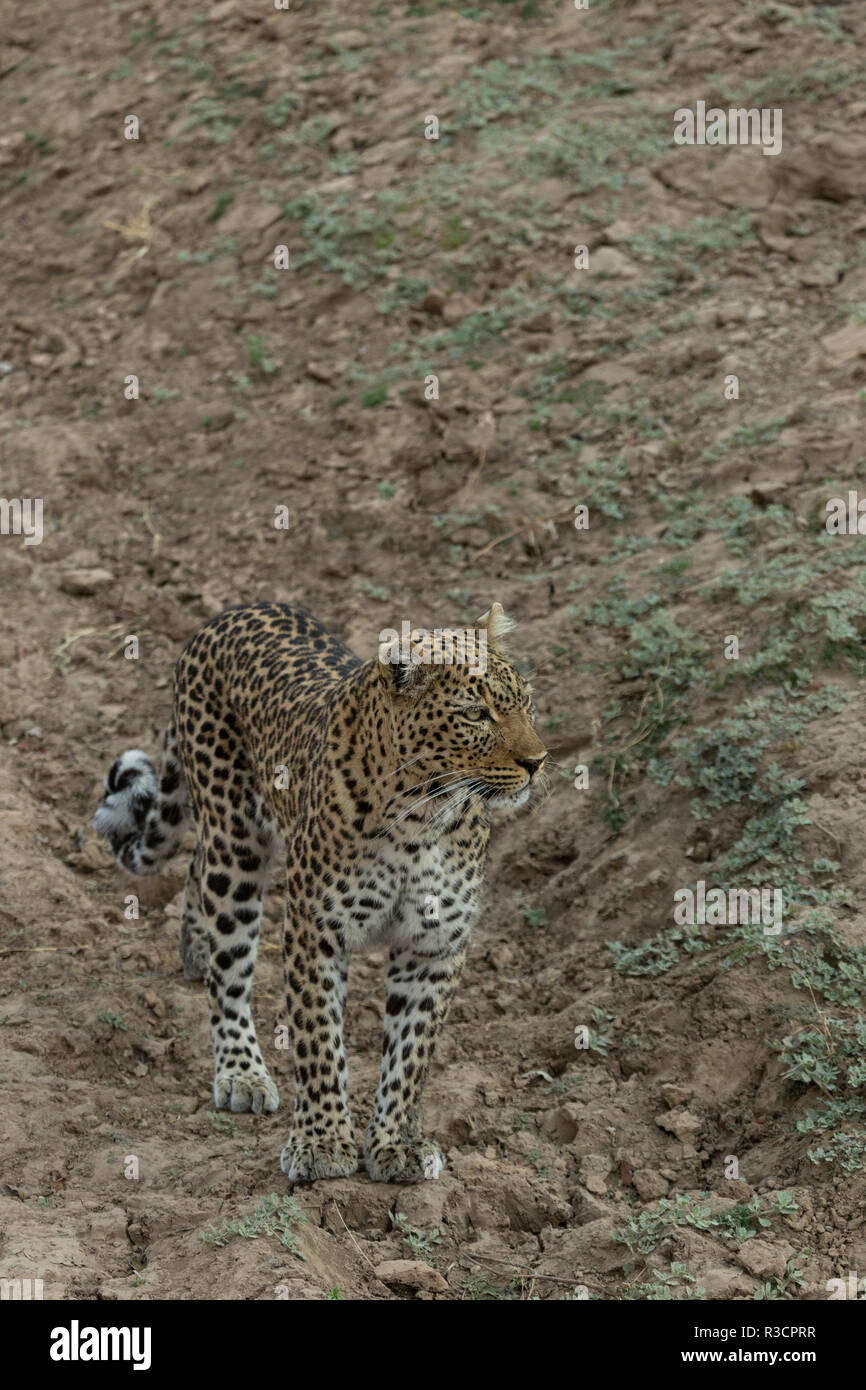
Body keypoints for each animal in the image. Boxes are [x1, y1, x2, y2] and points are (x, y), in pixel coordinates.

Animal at [93, 599, 547, 1183]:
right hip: (236, 842)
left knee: (196, 870)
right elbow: (318, 1039)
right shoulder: (316, 929)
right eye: (475, 715)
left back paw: (195, 951)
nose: (537, 762)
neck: (422, 816)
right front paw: (322, 1141)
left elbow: (412, 1052)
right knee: (228, 955)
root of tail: (230, 613)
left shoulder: (434, 943)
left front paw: (397, 1142)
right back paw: (241, 1070)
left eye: (526, 704)